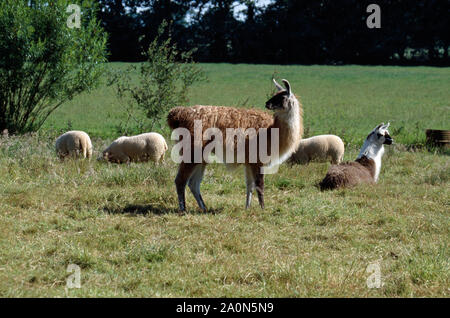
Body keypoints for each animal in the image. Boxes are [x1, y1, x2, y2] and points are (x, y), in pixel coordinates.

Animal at [167, 77, 304, 211]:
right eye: (275, 95)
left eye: (281, 97)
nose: (267, 103)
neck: (271, 130)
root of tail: (178, 114)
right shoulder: (257, 158)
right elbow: (260, 185)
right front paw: (263, 209)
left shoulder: (249, 160)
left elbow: (250, 185)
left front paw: (247, 208)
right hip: (191, 149)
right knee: (180, 180)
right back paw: (183, 209)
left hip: (201, 155)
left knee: (193, 183)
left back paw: (204, 208)